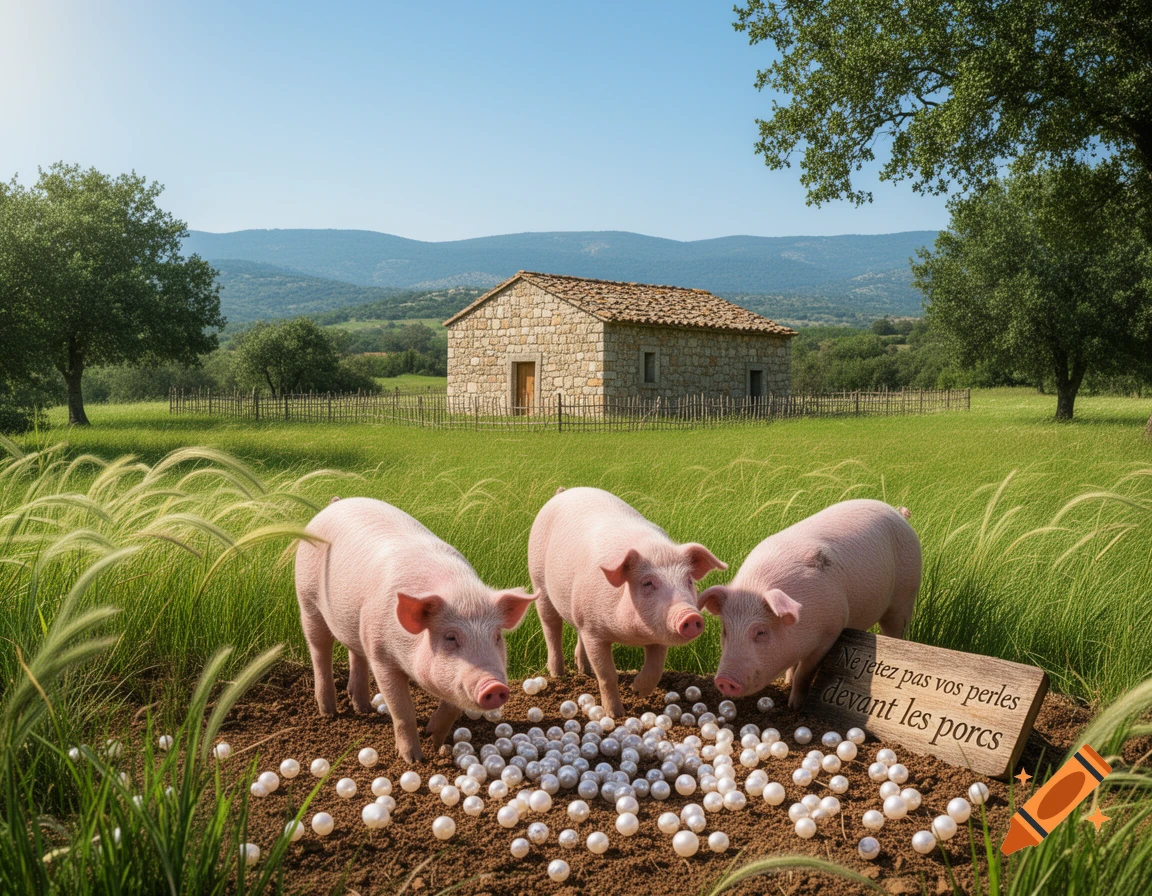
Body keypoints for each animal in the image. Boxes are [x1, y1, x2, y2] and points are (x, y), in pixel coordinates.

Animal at [295, 497, 534, 762]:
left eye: (497, 637)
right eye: (450, 637)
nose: (495, 686)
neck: (458, 591)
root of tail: (335, 503)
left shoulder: (455, 678)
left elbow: (452, 708)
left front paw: (434, 740)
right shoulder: (381, 656)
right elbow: (402, 711)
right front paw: (413, 759)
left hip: (355, 624)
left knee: (355, 653)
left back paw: (363, 708)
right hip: (307, 599)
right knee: (320, 650)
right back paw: (329, 712)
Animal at [529, 486, 726, 718]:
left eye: (688, 580)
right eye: (647, 583)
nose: (690, 615)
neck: (631, 636)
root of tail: (563, 492)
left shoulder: (657, 632)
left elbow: (655, 668)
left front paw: (636, 690)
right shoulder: (593, 630)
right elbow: (607, 675)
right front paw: (615, 715)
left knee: (576, 632)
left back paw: (584, 671)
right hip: (538, 580)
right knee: (551, 626)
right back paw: (558, 674)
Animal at [699, 499, 920, 710]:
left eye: (761, 632)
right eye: (725, 630)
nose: (723, 680)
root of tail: (897, 513)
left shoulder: (830, 633)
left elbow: (804, 673)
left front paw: (794, 706)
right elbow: (794, 668)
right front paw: (787, 682)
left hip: (905, 595)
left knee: (896, 629)